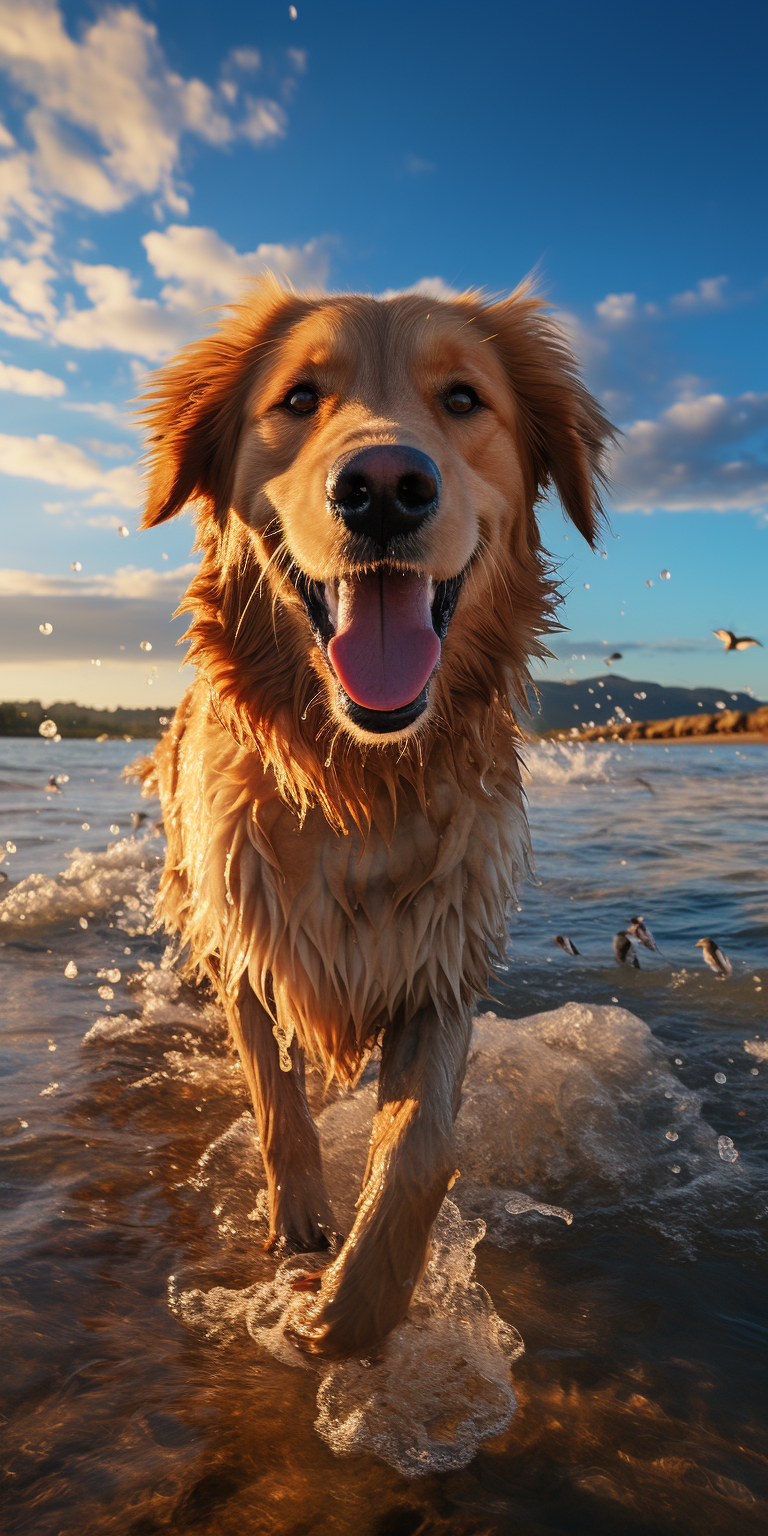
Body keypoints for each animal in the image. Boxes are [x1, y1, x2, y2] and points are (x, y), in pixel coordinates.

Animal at [136, 276, 611, 1357]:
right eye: (299, 399)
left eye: (465, 398)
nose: (386, 486)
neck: (357, 779)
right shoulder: (248, 942)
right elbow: (276, 1098)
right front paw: (302, 1230)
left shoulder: (441, 955)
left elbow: (419, 1149)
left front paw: (351, 1310)